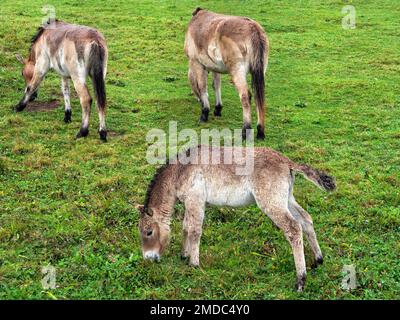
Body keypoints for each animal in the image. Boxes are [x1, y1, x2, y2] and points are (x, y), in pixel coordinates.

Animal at [139, 146, 336, 292]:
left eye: (148, 232)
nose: (148, 258)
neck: (180, 170)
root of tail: (287, 162)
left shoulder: (196, 200)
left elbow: (194, 230)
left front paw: (194, 264)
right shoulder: (191, 203)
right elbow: (186, 227)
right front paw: (184, 254)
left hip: (271, 202)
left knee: (293, 228)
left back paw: (301, 280)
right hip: (286, 198)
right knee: (306, 219)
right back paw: (318, 260)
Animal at [186, 8, 270, 141]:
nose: (198, 100)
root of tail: (253, 28)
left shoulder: (197, 63)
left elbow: (202, 86)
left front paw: (204, 113)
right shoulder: (215, 67)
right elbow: (216, 85)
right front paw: (218, 109)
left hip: (237, 71)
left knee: (245, 96)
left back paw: (246, 130)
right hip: (260, 71)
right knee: (258, 97)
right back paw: (260, 131)